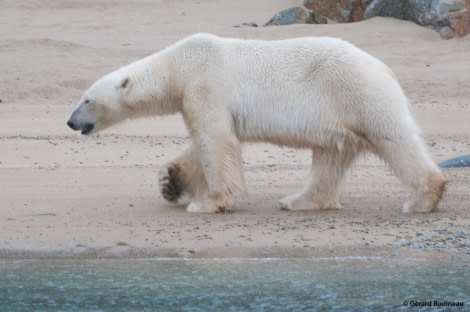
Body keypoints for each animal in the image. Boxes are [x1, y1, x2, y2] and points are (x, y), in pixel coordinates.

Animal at [66, 33, 444, 214]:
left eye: (86, 99)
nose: (70, 122)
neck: (178, 64)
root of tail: (384, 67)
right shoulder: (195, 95)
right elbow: (204, 141)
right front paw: (171, 182)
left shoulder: (206, 84)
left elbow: (215, 141)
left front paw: (208, 203)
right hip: (339, 114)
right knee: (332, 154)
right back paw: (297, 200)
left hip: (355, 91)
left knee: (394, 139)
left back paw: (424, 198)